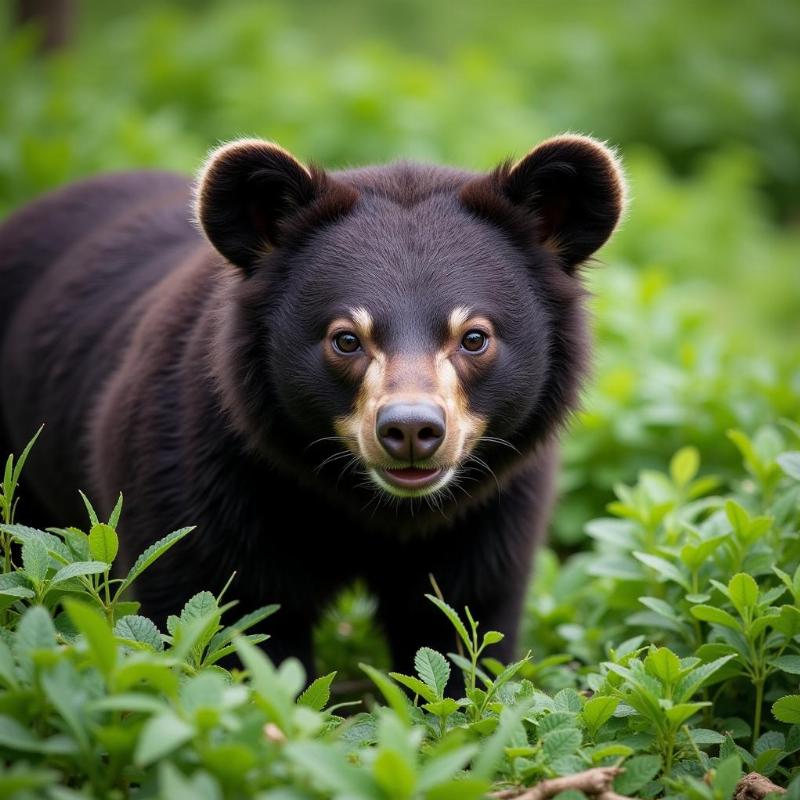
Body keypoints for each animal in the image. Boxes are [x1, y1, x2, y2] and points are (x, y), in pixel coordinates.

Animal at [0, 134, 624, 672]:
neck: (373, 505)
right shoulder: (195, 476)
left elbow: (462, 623)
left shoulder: (492, 510)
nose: (412, 430)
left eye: (474, 337)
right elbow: (211, 614)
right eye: (345, 338)